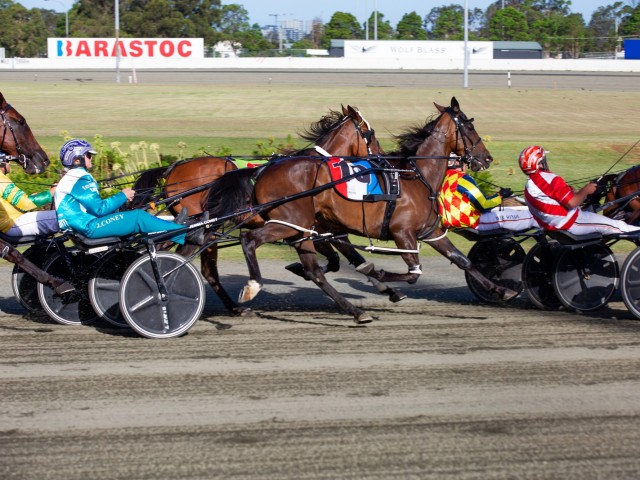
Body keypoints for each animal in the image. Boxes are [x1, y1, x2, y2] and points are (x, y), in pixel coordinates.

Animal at [131, 105, 390, 316]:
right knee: (191, 263)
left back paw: (233, 307)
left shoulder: (309, 226)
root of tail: (174, 168)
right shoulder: (311, 225)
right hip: (207, 229)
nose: (383, 159)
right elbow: (338, 256)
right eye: (371, 133)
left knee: (194, 263)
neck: (317, 171)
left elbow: (337, 259)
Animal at [205, 96, 520, 322]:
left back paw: (355, 311)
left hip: (300, 228)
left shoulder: (431, 233)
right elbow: (413, 272)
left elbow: (462, 260)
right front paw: (380, 276)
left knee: (314, 271)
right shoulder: (402, 233)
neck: (415, 175)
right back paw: (251, 287)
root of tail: (263, 171)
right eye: (469, 126)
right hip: (287, 223)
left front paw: (502, 289)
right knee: (249, 240)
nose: (487, 158)